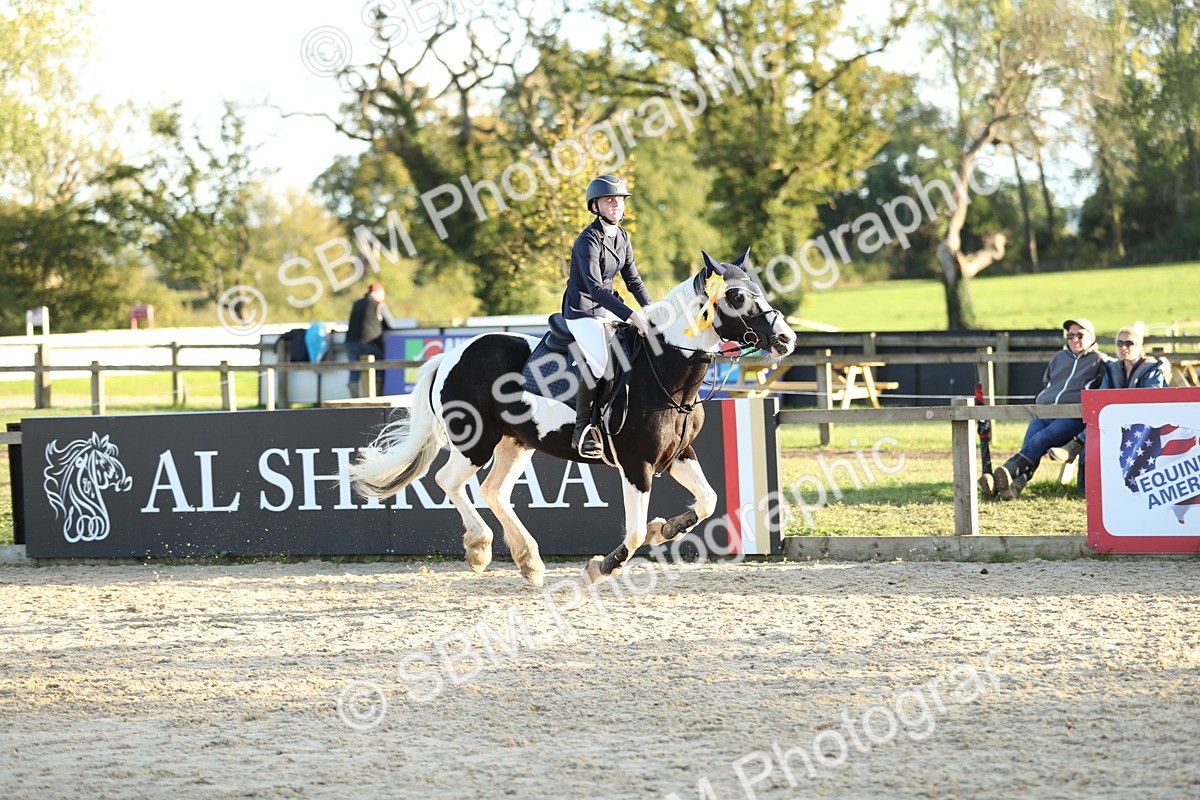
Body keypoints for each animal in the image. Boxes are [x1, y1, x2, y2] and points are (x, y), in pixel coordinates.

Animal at [350, 249, 796, 586]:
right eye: (736, 296)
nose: (786, 339)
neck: (663, 370)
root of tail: (451, 356)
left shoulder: (678, 455)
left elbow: (706, 501)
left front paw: (666, 528)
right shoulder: (637, 465)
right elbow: (634, 532)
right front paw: (602, 567)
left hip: (516, 443)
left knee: (495, 491)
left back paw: (529, 561)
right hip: (476, 442)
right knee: (449, 481)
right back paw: (479, 548)